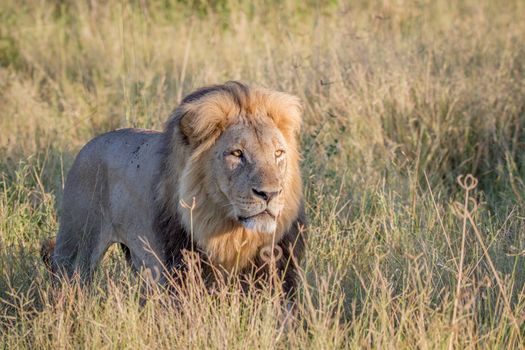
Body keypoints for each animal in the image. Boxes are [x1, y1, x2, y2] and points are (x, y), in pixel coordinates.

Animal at [45, 81, 308, 298]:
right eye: (236, 154)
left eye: (278, 153)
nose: (270, 194)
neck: (231, 232)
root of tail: (88, 145)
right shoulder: (182, 268)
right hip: (76, 249)